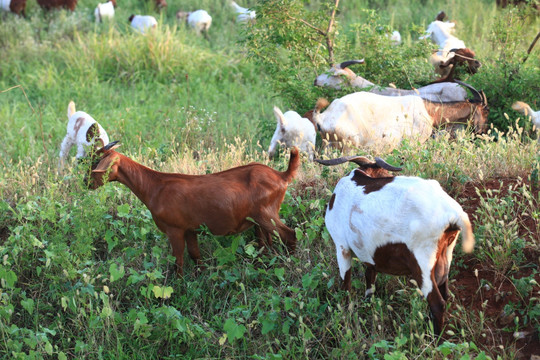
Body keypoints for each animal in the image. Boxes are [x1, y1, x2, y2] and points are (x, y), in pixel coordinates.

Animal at [88, 142, 300, 274]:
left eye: (96, 164)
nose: (86, 182)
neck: (154, 187)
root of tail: (282, 175)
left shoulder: (174, 229)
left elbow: (179, 259)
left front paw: (178, 286)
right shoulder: (190, 229)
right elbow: (195, 255)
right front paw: (201, 277)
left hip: (266, 214)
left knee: (289, 235)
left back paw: (292, 265)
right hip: (259, 219)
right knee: (266, 243)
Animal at [318, 156, 474, 336]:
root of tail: (454, 215)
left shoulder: (341, 246)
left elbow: (346, 284)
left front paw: (345, 314)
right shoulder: (369, 252)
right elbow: (369, 278)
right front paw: (367, 304)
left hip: (422, 263)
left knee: (437, 303)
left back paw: (434, 338)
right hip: (445, 256)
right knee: (445, 293)